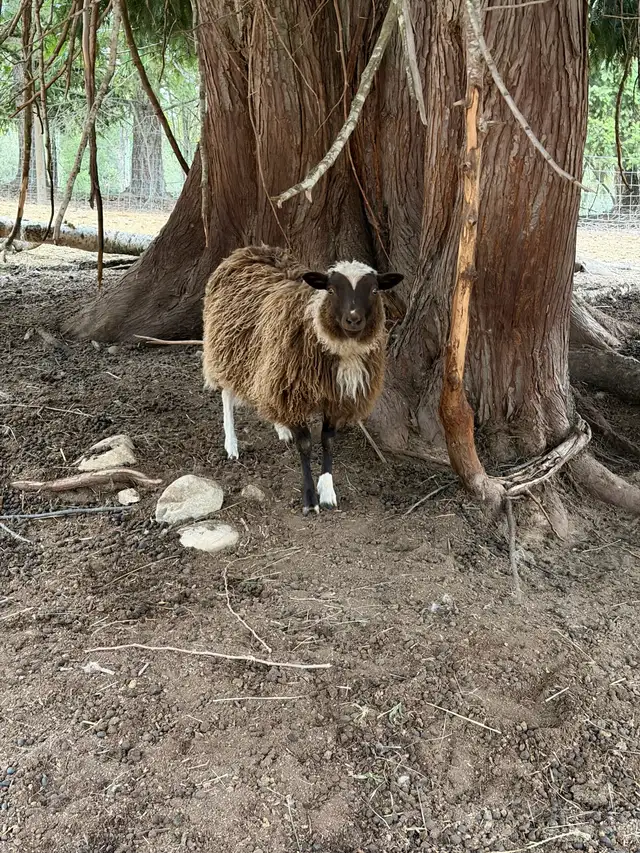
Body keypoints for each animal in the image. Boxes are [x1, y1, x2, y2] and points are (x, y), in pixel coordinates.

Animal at [202, 245, 404, 514]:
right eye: (331, 290)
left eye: (373, 290)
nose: (353, 319)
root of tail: (250, 250)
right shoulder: (293, 392)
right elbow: (306, 445)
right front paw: (310, 499)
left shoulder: (335, 397)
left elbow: (328, 442)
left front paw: (327, 492)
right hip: (228, 349)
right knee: (226, 394)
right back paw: (232, 445)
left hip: (264, 364)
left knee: (265, 396)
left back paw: (280, 427)